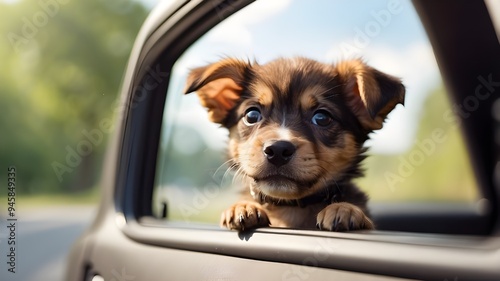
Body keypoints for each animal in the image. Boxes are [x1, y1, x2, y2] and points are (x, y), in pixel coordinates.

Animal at [186, 56, 404, 230]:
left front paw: (345, 208)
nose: (278, 150)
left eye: (322, 118)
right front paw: (243, 206)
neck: (288, 207)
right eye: (252, 115)